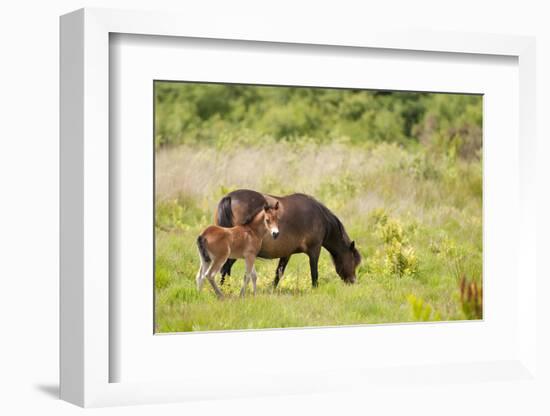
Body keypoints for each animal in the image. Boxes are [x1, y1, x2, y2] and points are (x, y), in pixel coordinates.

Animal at [216, 190, 362, 288]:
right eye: (354, 261)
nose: (353, 281)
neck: (320, 218)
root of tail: (230, 197)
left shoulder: (286, 253)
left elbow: (278, 273)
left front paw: (272, 290)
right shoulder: (315, 250)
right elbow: (314, 272)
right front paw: (315, 289)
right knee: (225, 269)